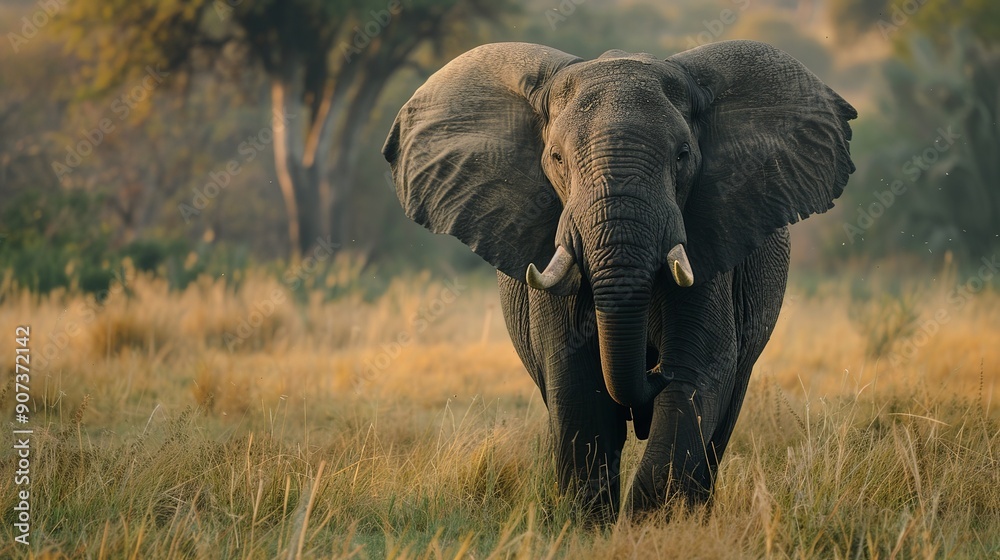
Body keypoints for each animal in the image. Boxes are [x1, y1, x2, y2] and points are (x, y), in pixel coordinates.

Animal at [382, 40, 855, 522]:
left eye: (683, 155)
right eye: (557, 158)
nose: (653, 370)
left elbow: (699, 372)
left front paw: (651, 524)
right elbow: (576, 382)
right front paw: (592, 523)